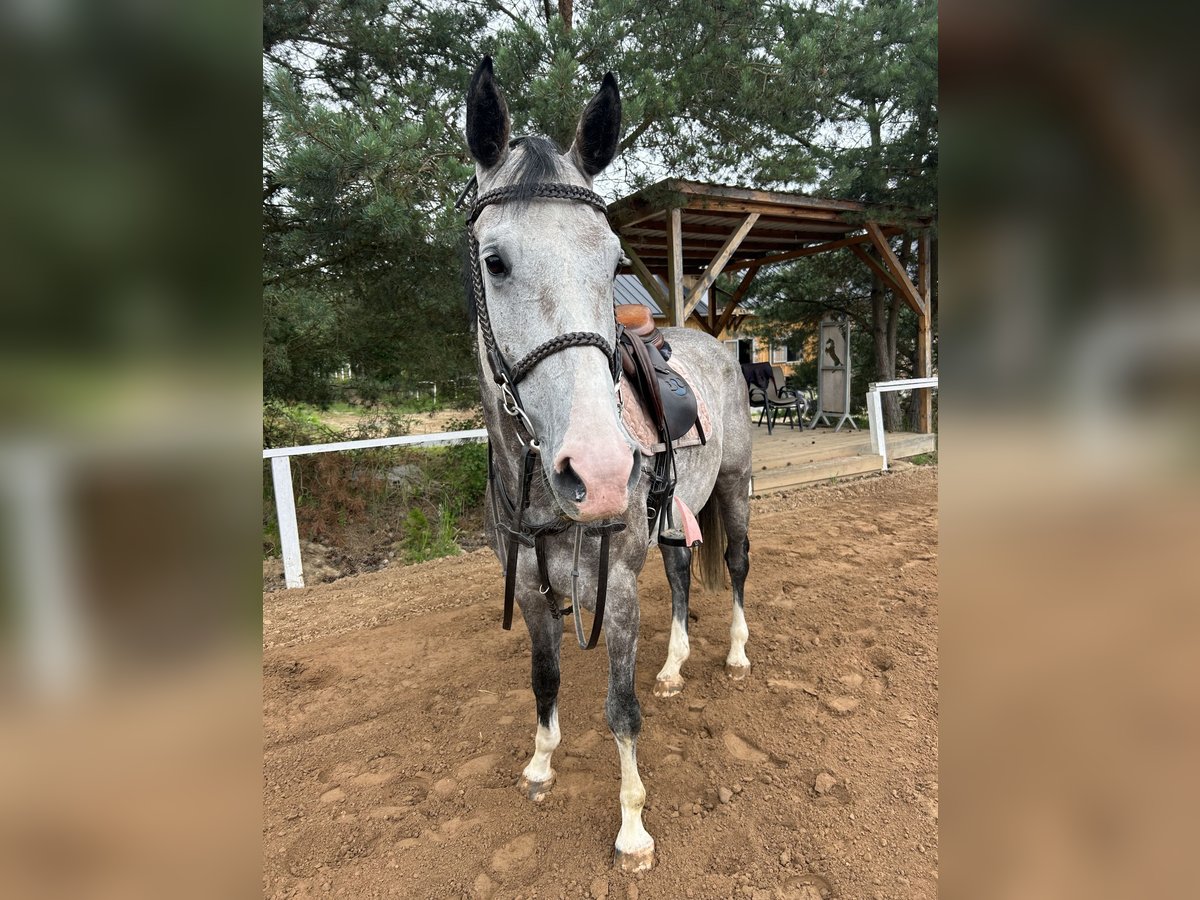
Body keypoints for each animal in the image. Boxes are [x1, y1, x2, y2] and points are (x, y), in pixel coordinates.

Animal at [462, 56, 753, 872]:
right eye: (494, 261)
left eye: (615, 261)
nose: (596, 472)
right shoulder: (531, 588)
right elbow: (545, 678)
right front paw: (539, 765)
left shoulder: (616, 582)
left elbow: (620, 711)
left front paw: (632, 828)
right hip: (674, 515)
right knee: (684, 573)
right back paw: (676, 667)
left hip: (735, 489)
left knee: (737, 564)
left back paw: (737, 654)